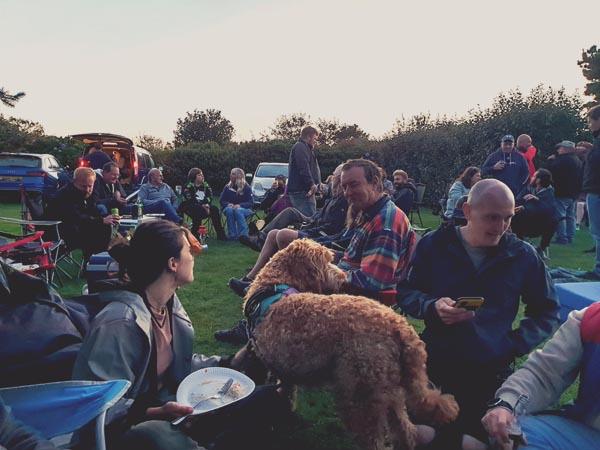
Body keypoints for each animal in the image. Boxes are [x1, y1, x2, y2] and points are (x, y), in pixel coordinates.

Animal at [232, 239, 458, 450]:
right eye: (325, 262)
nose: (342, 277)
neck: (273, 284)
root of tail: (399, 325)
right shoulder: (285, 369)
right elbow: (286, 393)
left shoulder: (281, 367)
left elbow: (284, 395)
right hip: (389, 390)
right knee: (406, 431)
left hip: (359, 395)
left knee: (375, 440)